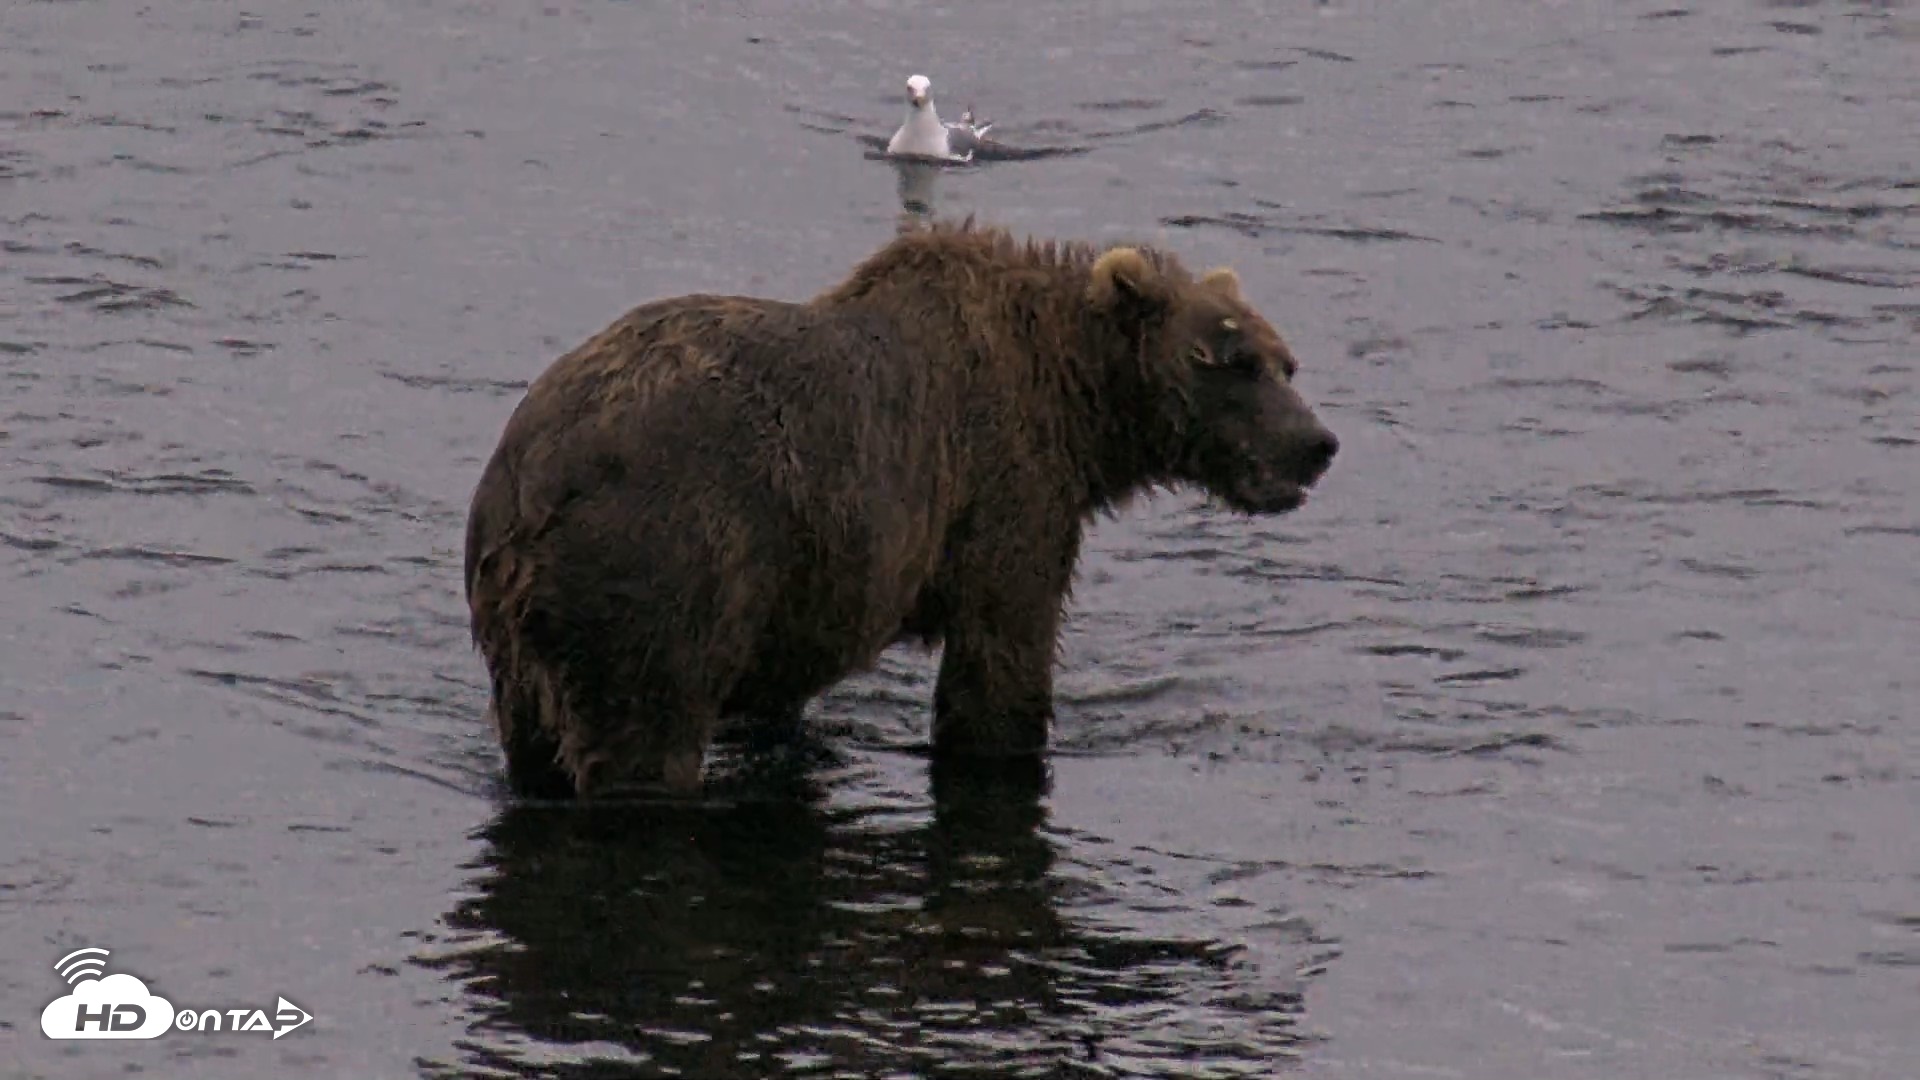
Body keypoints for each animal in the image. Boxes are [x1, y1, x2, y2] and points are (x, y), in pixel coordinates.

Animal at [463, 217, 1339, 800]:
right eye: (1230, 359)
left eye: (1285, 361)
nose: (1317, 443)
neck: (1075, 402)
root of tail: (530, 481)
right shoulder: (1002, 484)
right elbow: (1002, 657)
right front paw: (1005, 741)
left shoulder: (806, 585)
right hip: (668, 557)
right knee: (644, 729)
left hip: (519, 632)